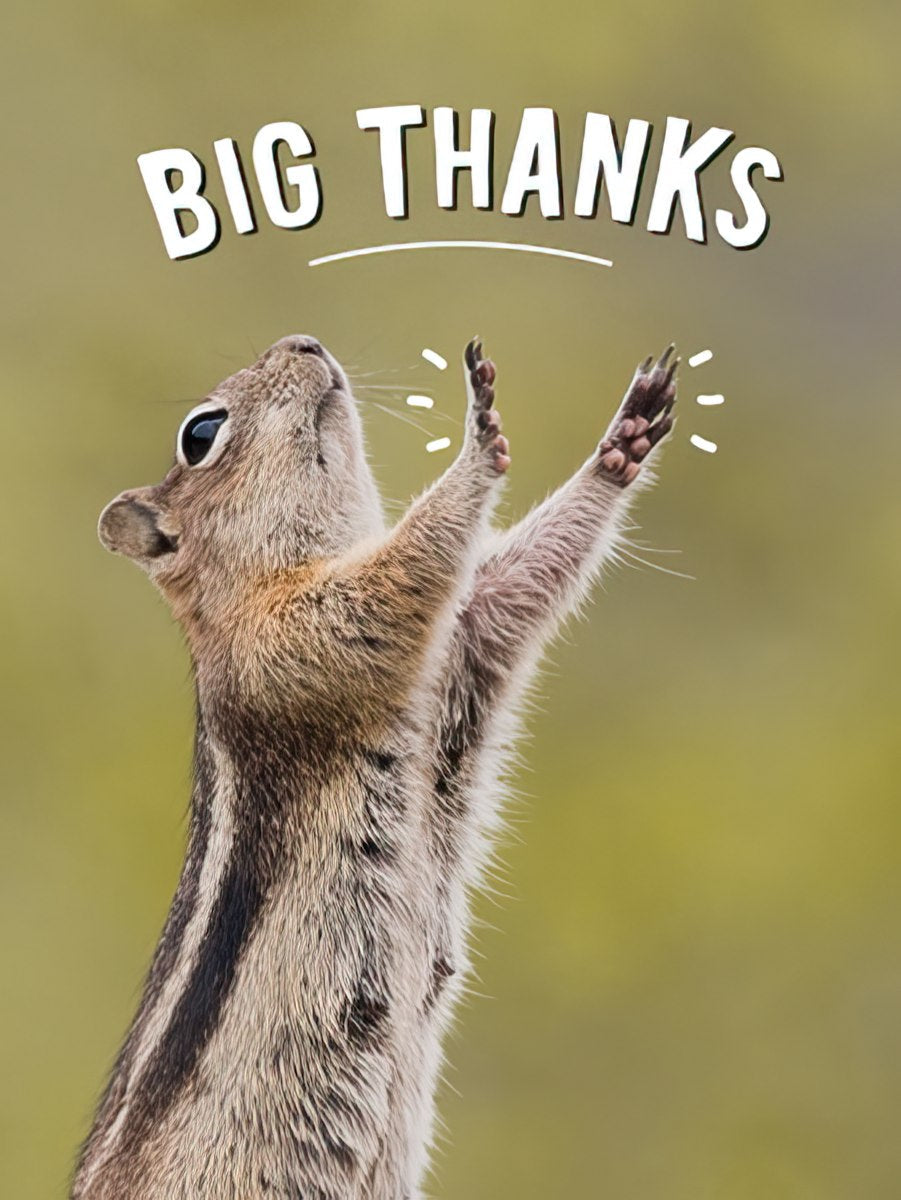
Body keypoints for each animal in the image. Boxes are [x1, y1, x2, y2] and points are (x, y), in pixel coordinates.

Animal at [72, 333, 677, 1199]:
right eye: (200, 433)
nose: (302, 340)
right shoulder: (296, 638)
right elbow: (398, 577)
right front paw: (478, 440)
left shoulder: (461, 652)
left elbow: (507, 590)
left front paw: (620, 444)